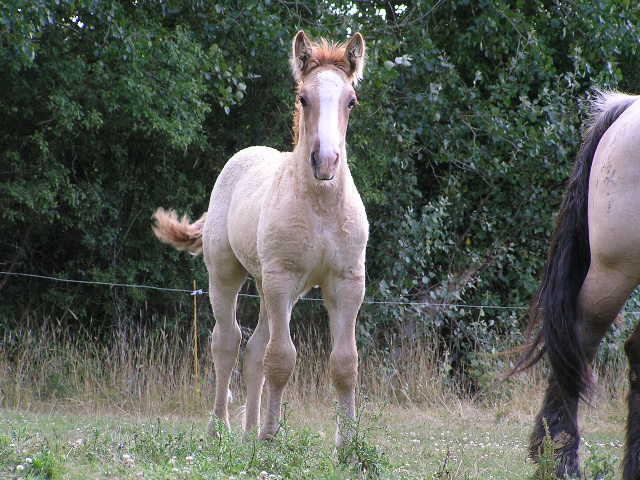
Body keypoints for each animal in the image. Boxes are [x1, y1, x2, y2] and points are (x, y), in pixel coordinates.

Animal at [152, 31, 368, 450]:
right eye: (303, 98)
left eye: (351, 100)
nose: (326, 161)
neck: (320, 205)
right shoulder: (282, 278)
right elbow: (282, 358)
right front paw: (270, 438)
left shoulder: (346, 282)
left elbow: (344, 363)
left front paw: (348, 448)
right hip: (228, 275)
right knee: (227, 342)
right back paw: (219, 430)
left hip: (273, 288)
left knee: (253, 351)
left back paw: (248, 431)